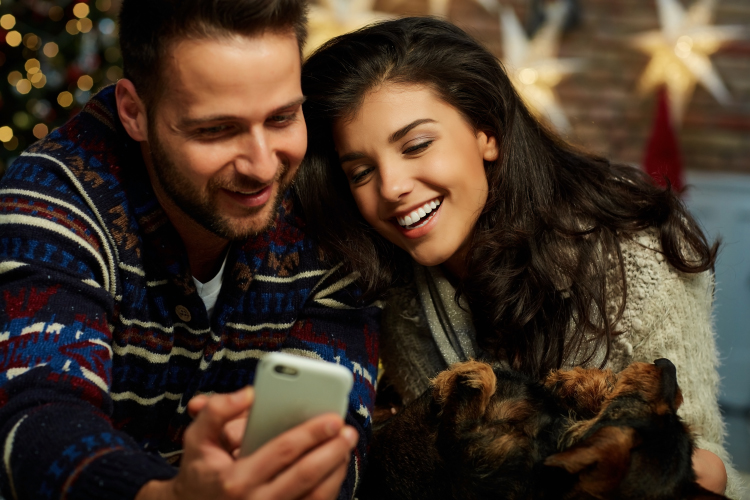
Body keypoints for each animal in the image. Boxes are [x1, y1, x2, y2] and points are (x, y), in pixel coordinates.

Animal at [358, 360, 728, 500]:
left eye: (631, 407)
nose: (669, 365)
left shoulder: (463, 456)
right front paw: (581, 382)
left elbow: (467, 400)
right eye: (676, 419)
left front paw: (471, 373)